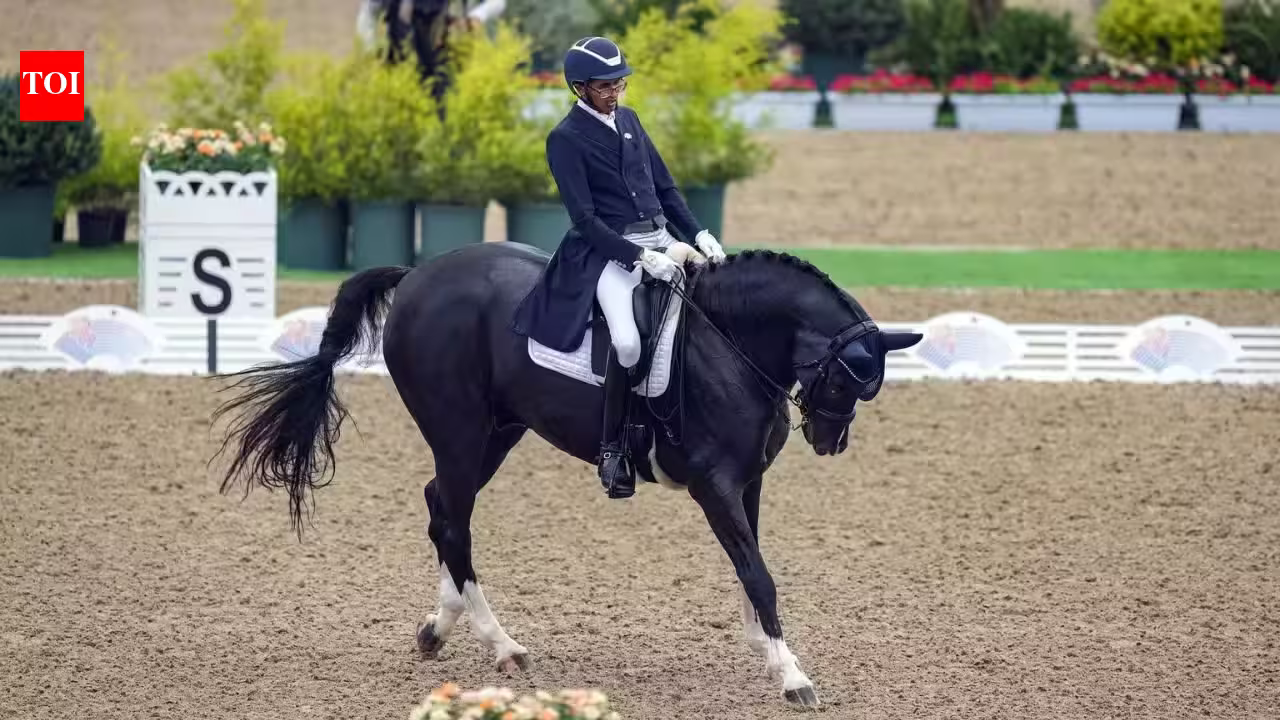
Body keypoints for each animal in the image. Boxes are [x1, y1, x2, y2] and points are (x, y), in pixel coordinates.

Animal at [210, 239, 922, 708]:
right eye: (847, 379)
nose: (830, 442)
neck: (727, 341)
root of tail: (418, 276)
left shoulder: (749, 482)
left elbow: (752, 569)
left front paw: (766, 649)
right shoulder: (714, 485)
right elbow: (758, 572)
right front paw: (791, 674)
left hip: (497, 432)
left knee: (442, 510)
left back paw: (440, 628)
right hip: (459, 431)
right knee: (454, 521)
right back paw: (502, 644)